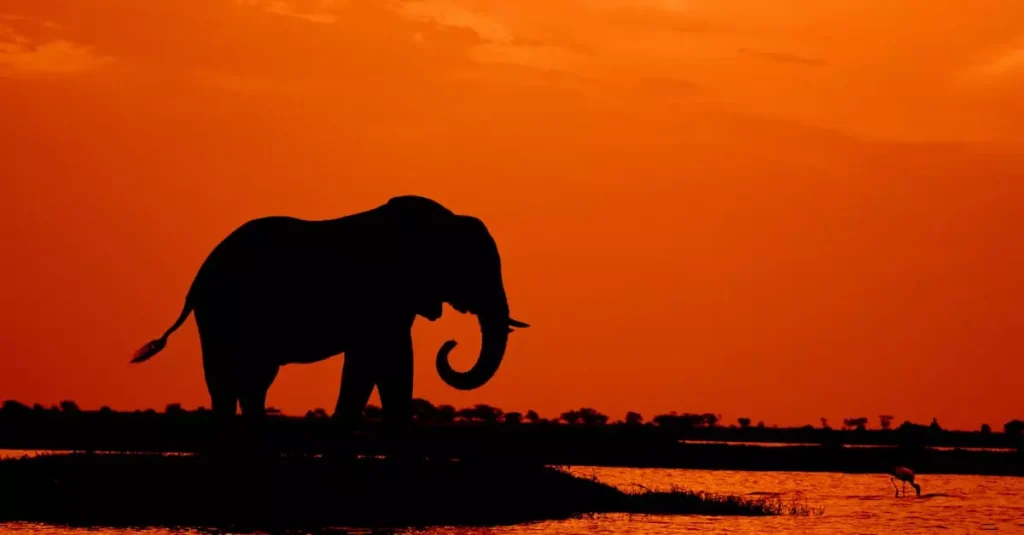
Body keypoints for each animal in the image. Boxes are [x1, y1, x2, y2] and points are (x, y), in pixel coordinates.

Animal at [130, 195, 528, 438]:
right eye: (473, 269)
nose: (451, 344)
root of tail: (198, 277)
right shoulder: (382, 295)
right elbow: (381, 359)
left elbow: (381, 362)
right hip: (221, 311)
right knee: (230, 378)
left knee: (252, 380)